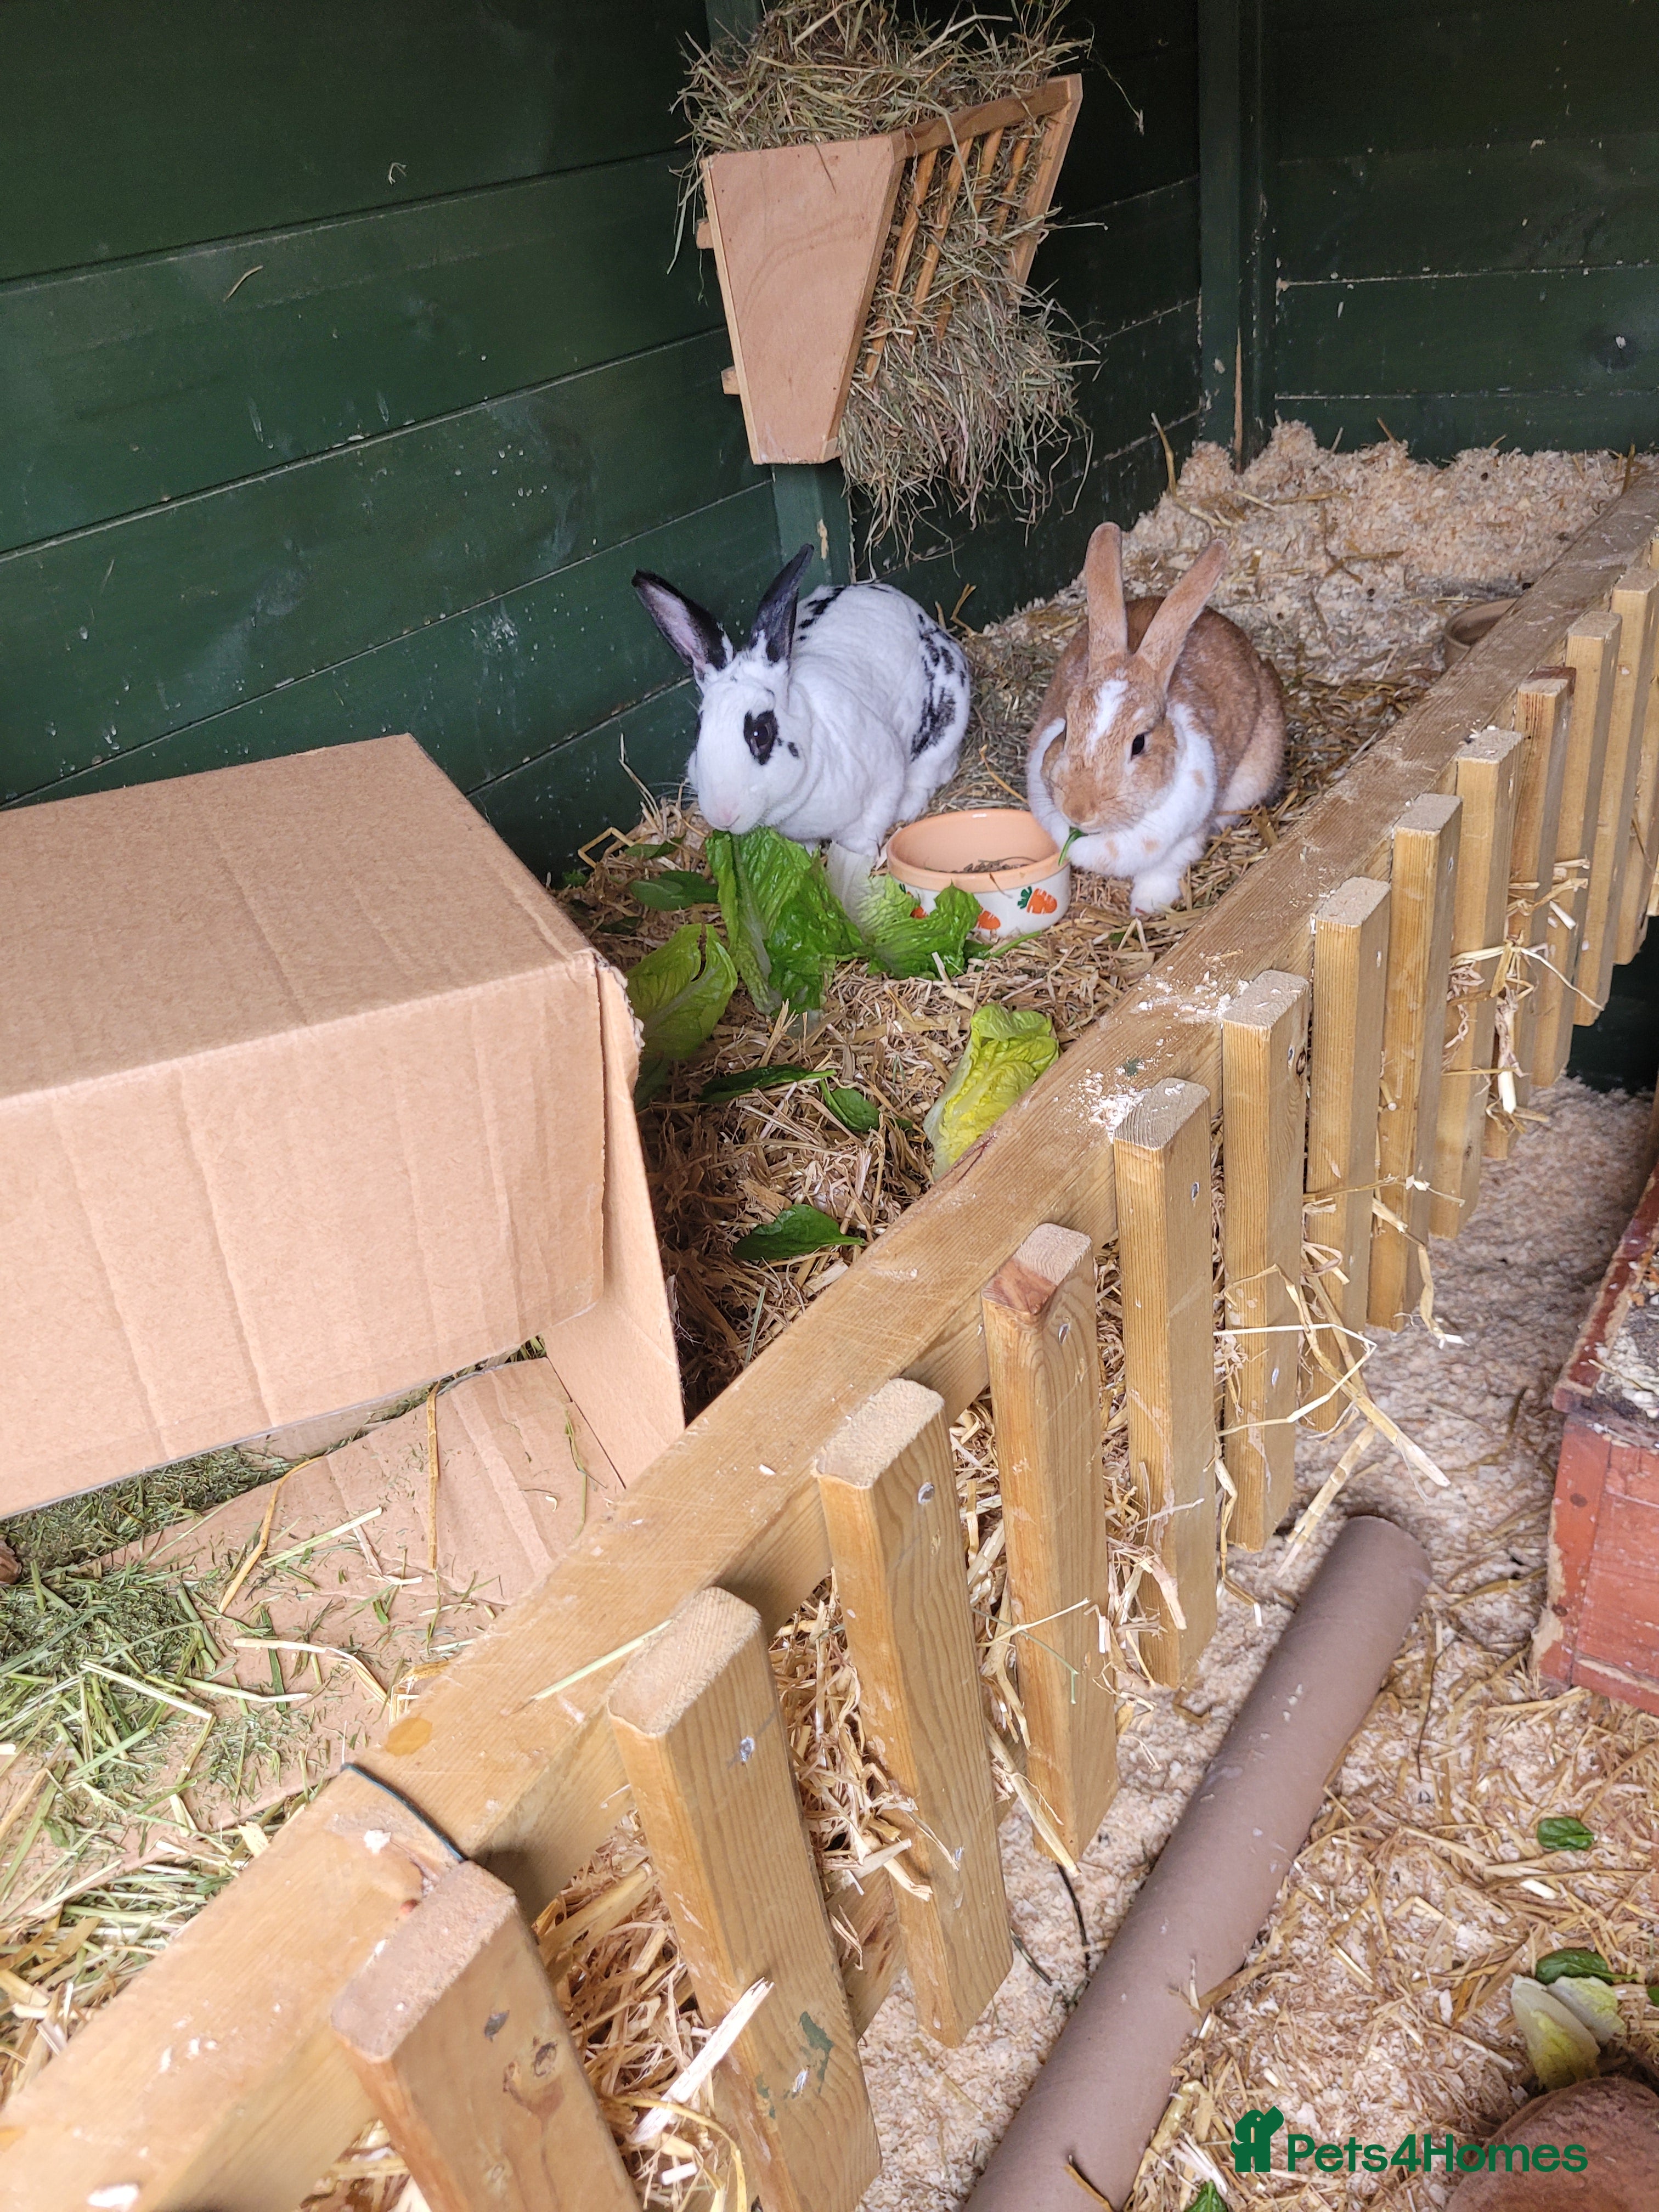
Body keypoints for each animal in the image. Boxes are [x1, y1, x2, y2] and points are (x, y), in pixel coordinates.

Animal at [631, 545, 970, 854]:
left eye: (761, 733)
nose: (723, 815)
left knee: (932, 771)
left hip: (948, 722)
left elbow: (861, 840)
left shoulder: (883, 784)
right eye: (698, 730)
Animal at [1025, 523, 1285, 913]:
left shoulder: (1183, 843)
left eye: (1139, 744)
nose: (1078, 811)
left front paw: (1144, 908)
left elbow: (1161, 875)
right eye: (1067, 728)